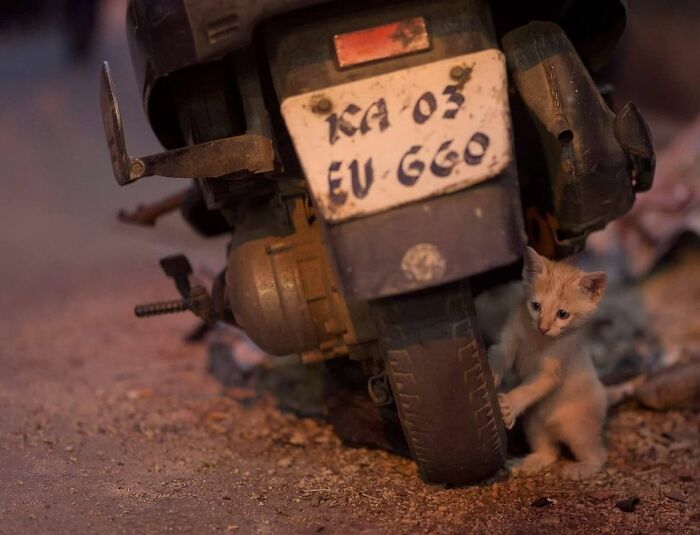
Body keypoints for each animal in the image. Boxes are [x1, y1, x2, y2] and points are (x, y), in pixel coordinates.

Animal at [490, 248, 608, 482]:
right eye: (536, 306)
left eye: (562, 314)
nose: (543, 327)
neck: (537, 340)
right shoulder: (507, 342)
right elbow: (498, 354)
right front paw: (491, 372)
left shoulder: (551, 371)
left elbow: (529, 388)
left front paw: (509, 405)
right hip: (533, 423)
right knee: (550, 452)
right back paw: (527, 463)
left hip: (577, 430)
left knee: (599, 455)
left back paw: (579, 469)